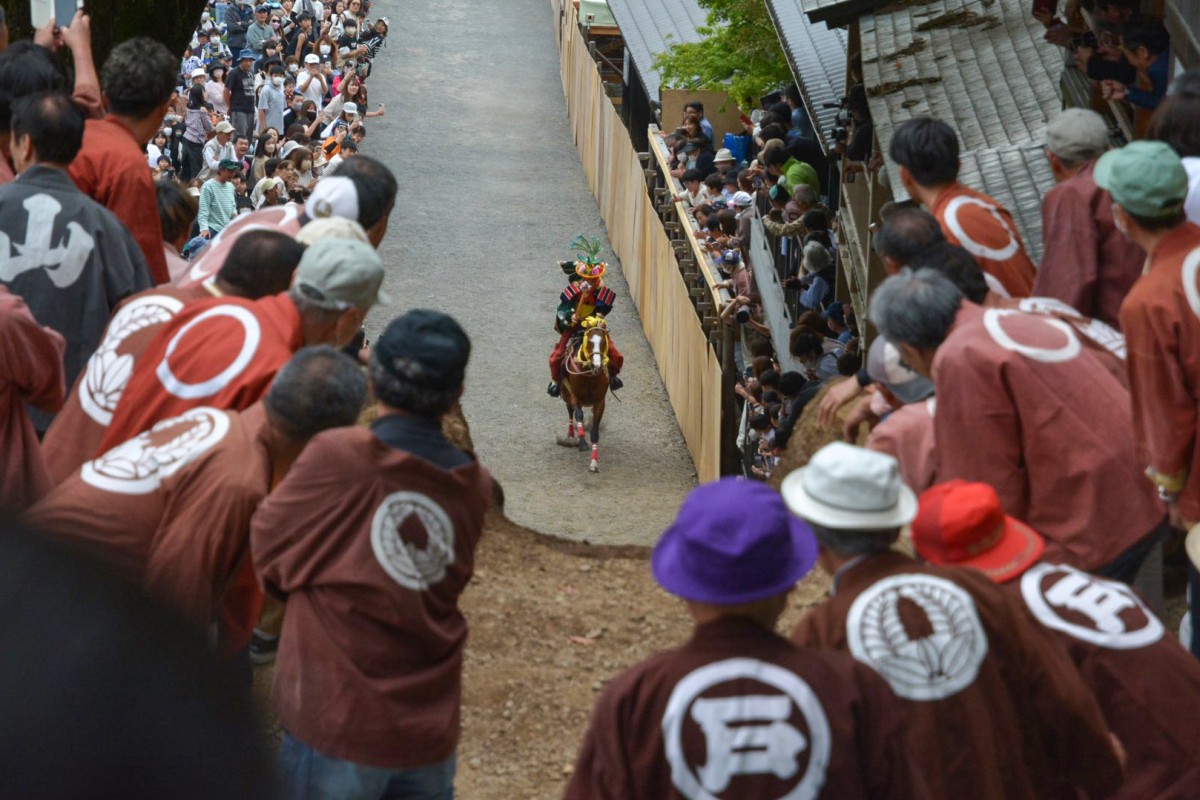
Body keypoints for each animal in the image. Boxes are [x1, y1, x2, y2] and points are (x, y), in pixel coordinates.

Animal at [552, 316, 609, 472]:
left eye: (603, 342)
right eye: (589, 342)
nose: (597, 366)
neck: (588, 375)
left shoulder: (600, 402)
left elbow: (595, 432)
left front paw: (594, 463)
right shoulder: (575, 397)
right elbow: (578, 415)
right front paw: (582, 442)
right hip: (566, 394)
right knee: (571, 412)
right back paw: (571, 435)